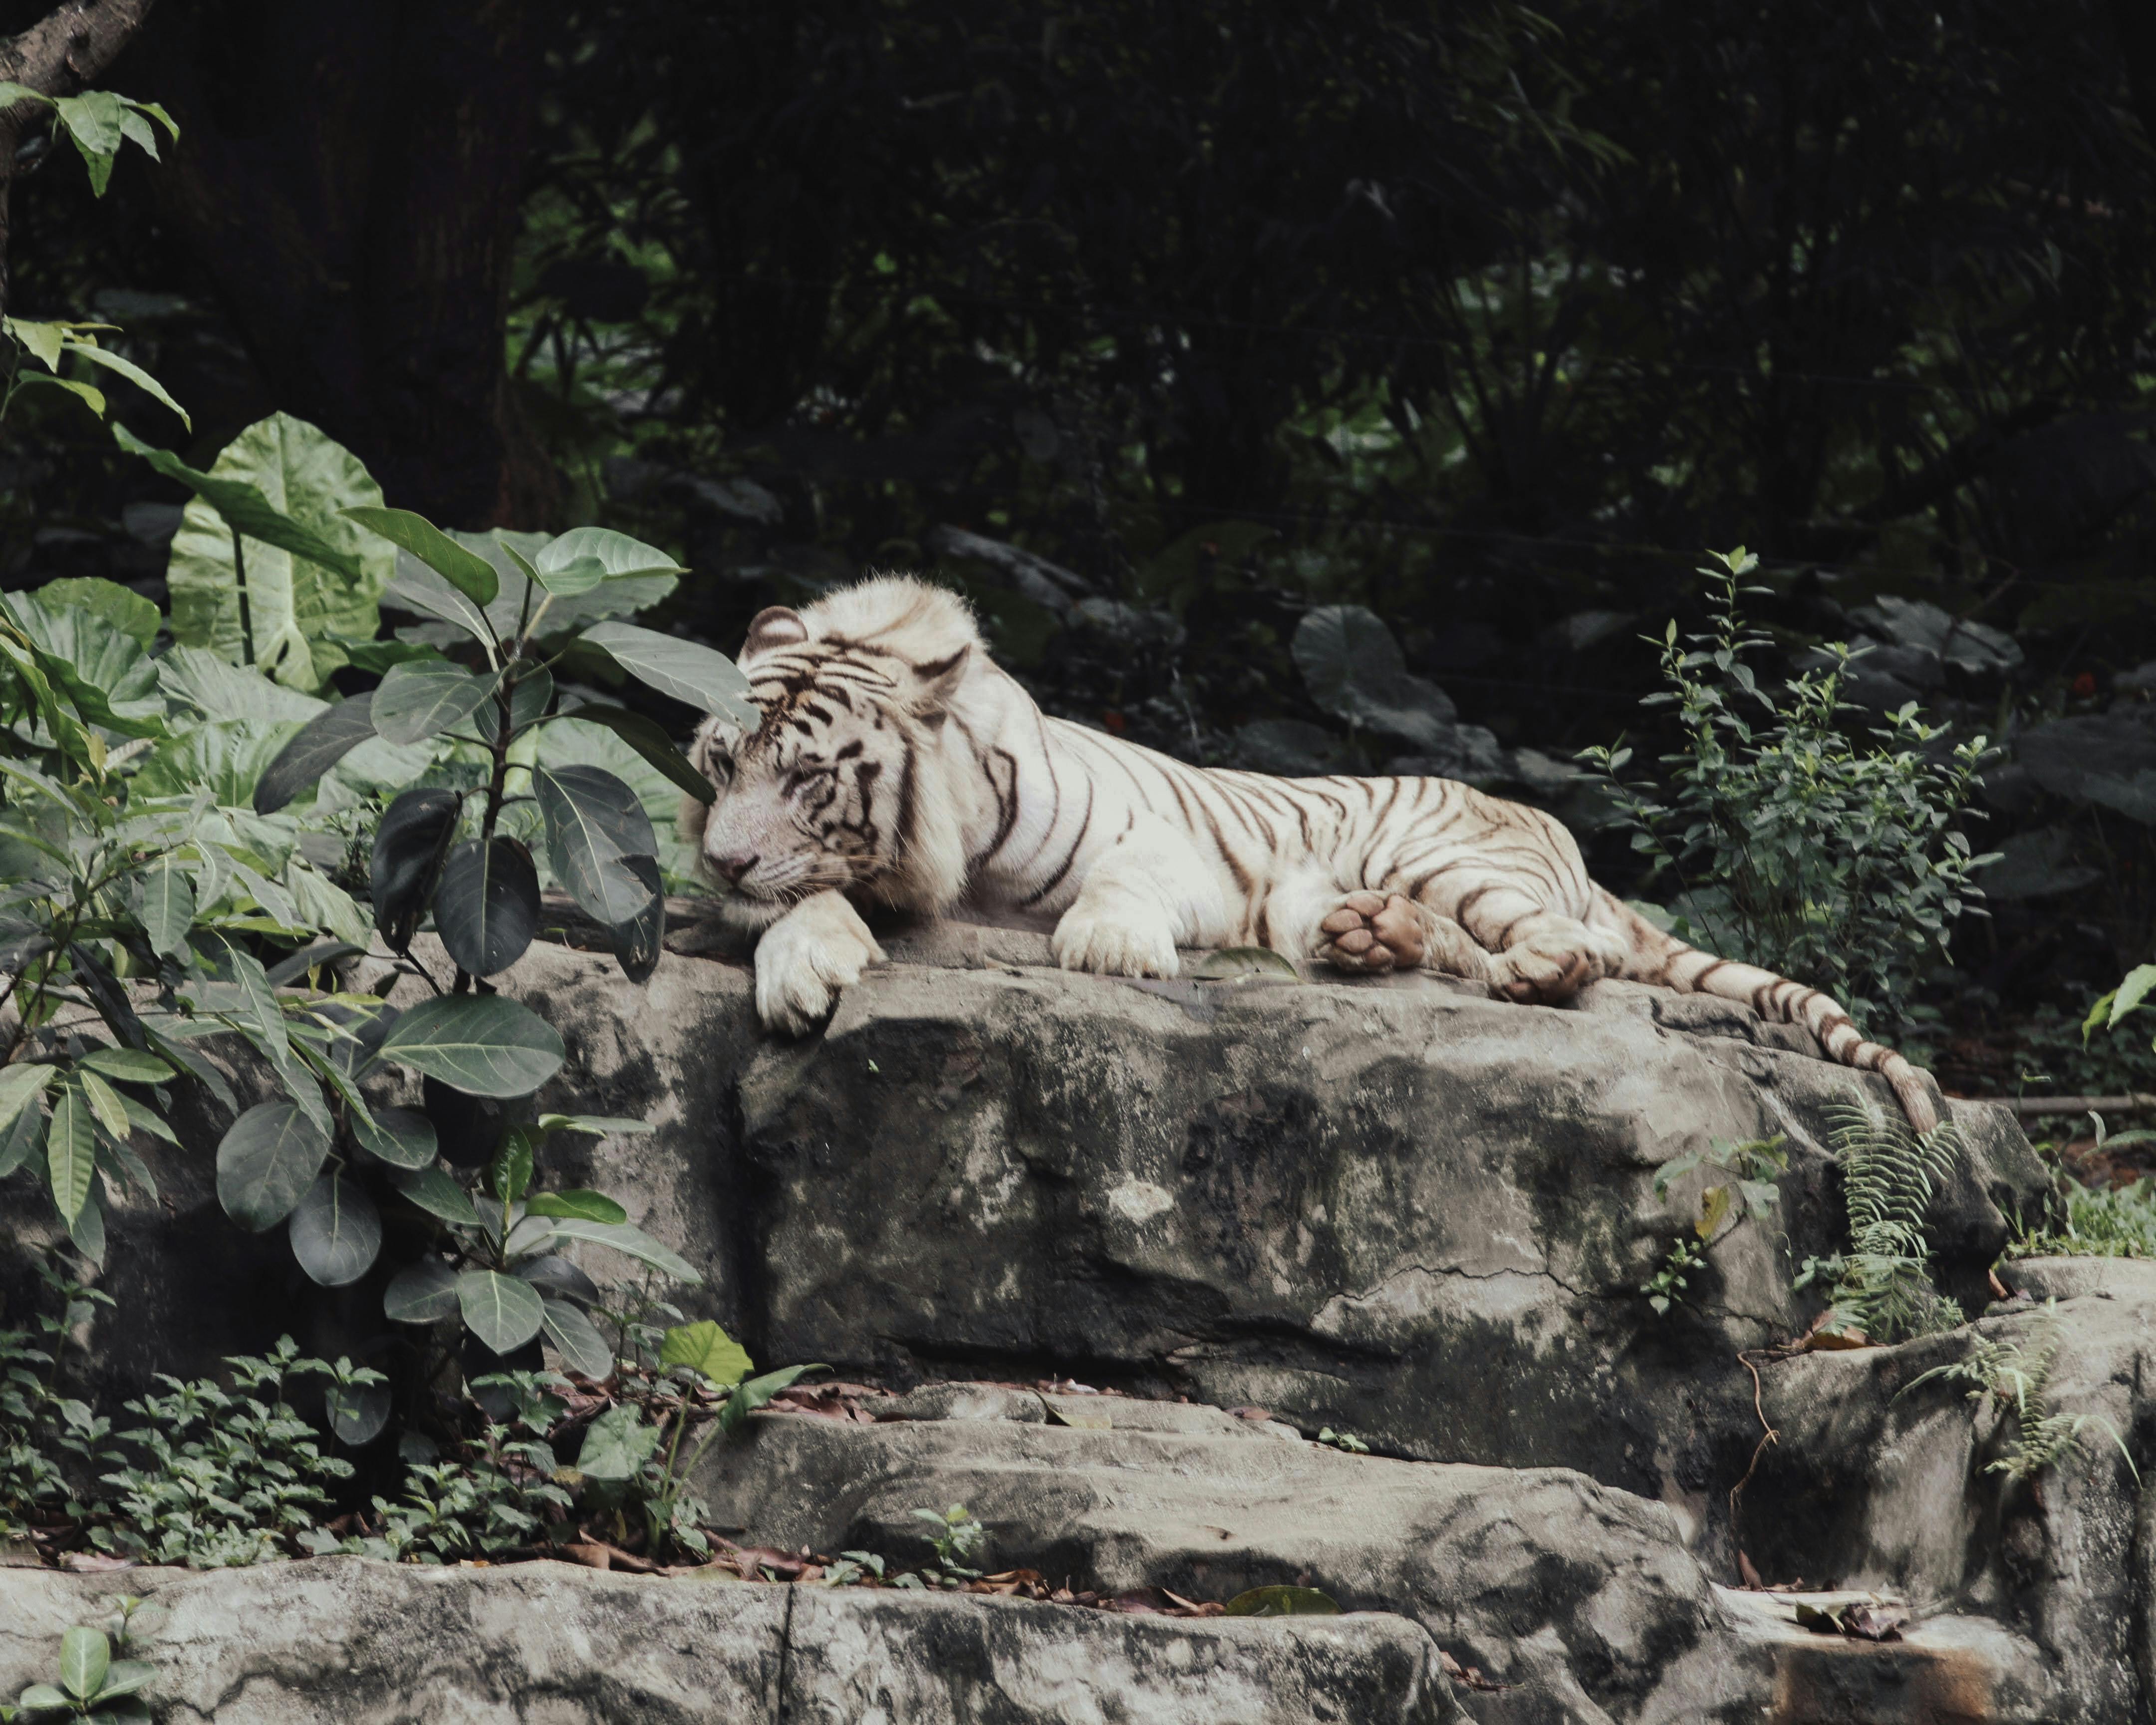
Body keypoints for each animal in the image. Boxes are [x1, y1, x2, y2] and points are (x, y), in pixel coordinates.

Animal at [681, 574, 1949, 1121]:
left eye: (807, 775)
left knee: (1566, 955)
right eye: (720, 767)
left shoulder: (1179, 846)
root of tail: (1570, 844)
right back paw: (1364, 936)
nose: (722, 862)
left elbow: (1122, 877)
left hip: (1450, 853)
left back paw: (1482, 955)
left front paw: (1112, 947)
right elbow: (802, 909)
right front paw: (802, 967)